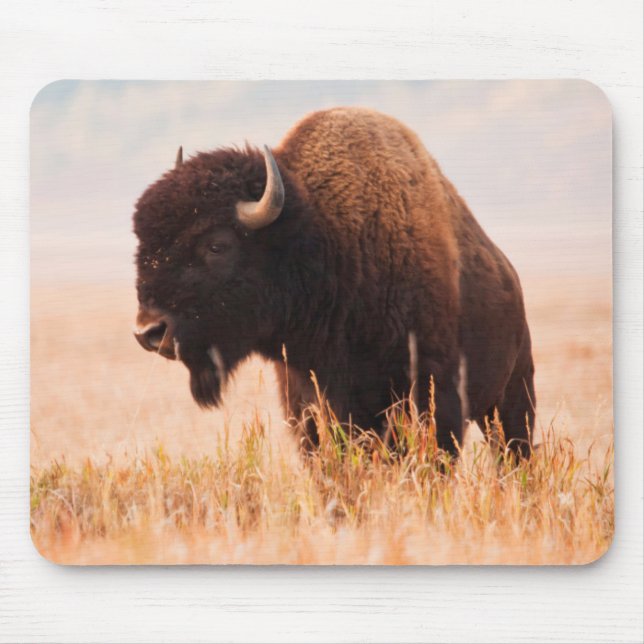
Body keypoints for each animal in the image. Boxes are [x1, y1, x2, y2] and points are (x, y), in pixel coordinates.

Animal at [133, 107, 535, 457]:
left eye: (217, 245)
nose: (149, 331)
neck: (328, 240)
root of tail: (510, 275)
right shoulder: (307, 403)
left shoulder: (434, 396)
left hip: (512, 398)